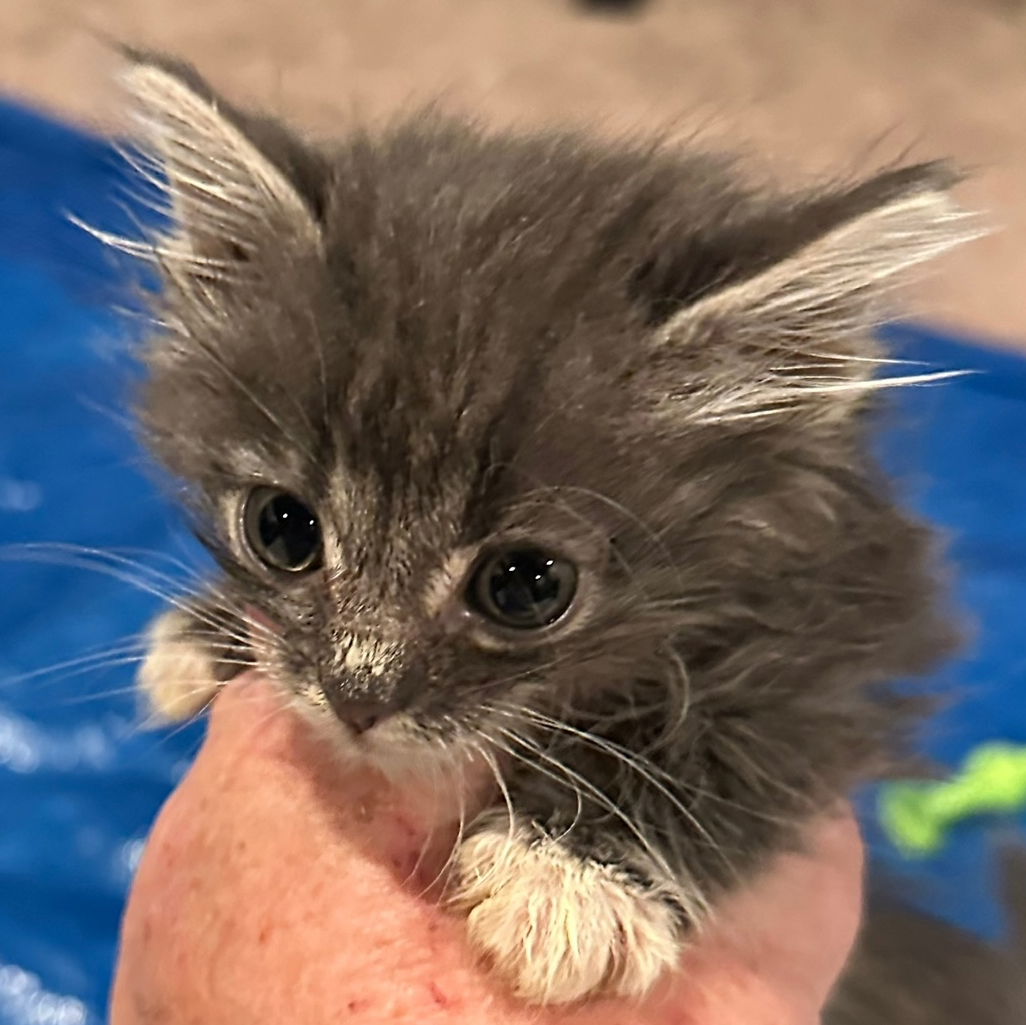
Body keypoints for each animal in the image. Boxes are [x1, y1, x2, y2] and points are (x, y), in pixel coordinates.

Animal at [117, 52, 976, 1005]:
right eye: (281, 529)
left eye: (526, 585)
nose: (357, 695)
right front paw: (204, 635)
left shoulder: (849, 625)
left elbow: (744, 731)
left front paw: (572, 877)